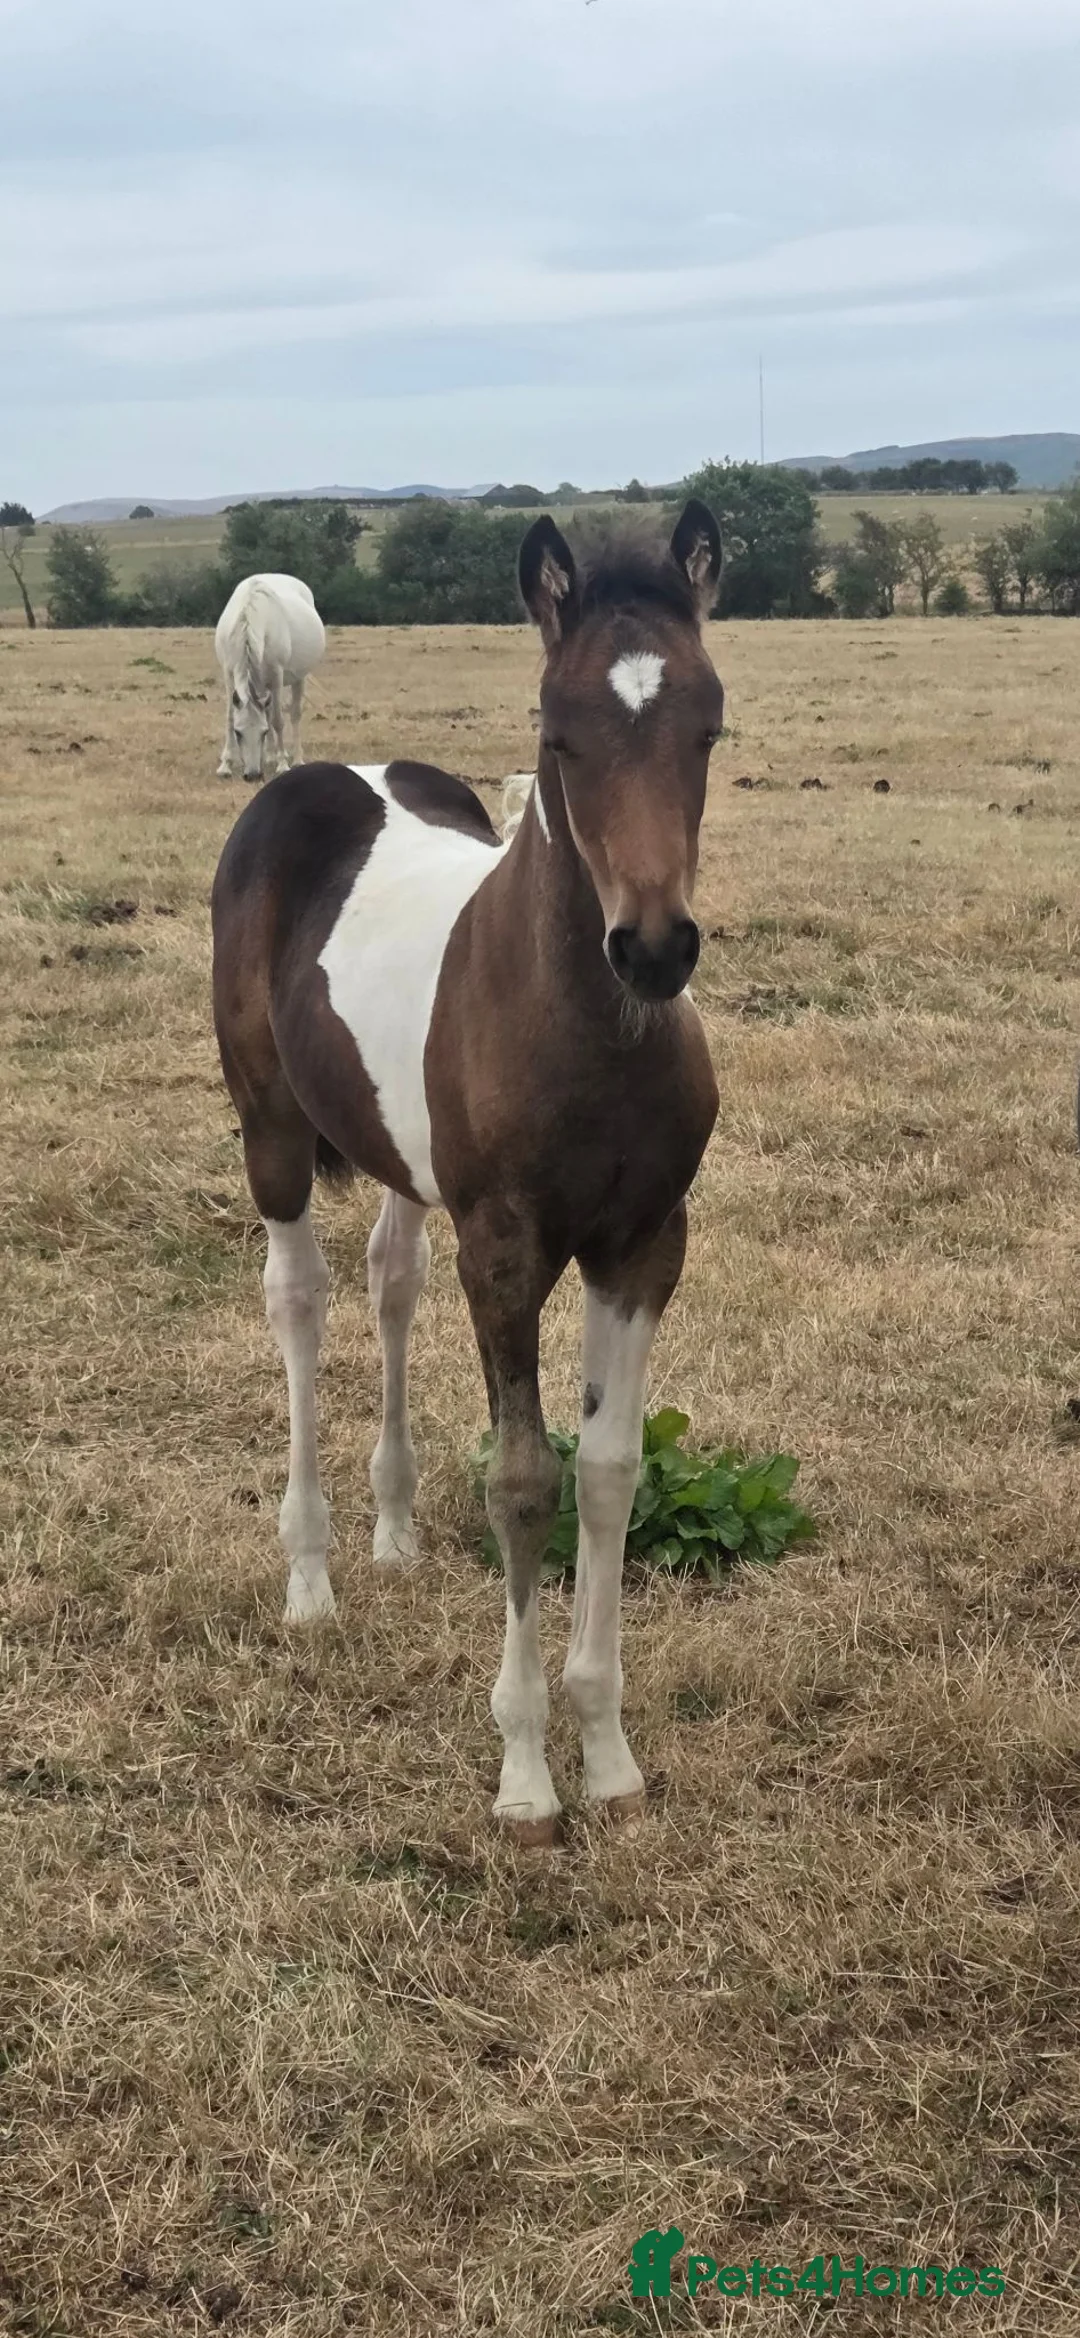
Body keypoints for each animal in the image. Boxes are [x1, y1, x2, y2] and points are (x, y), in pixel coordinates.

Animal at [214, 573, 326, 782]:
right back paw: (270, 756)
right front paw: (225, 765)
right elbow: (230, 717)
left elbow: (277, 720)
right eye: (238, 733)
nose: (252, 775)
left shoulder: (276, 675)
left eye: (263, 732)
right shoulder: (228, 673)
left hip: (297, 678)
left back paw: (295, 758)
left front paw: (282, 764)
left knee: (294, 714)